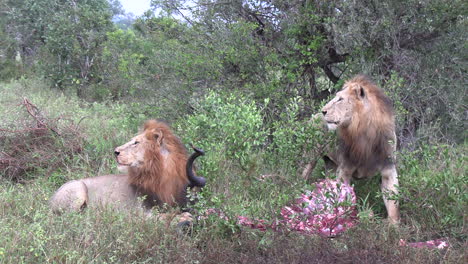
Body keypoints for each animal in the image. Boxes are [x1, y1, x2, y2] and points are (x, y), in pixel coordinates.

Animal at [322, 75, 398, 225]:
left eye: (340, 99)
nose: (323, 111)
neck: (365, 132)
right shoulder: (344, 169)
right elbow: (344, 200)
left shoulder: (388, 168)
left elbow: (393, 202)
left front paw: (393, 226)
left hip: (330, 164)